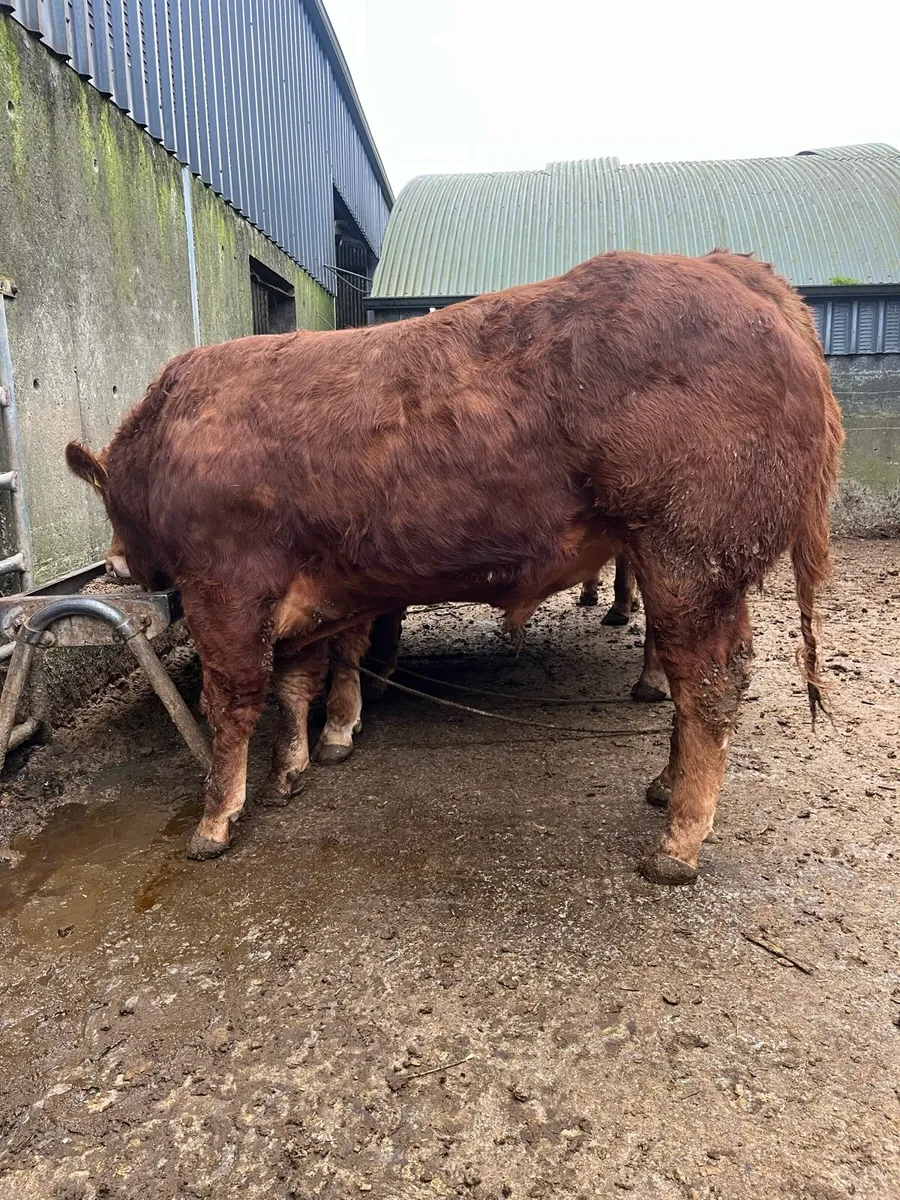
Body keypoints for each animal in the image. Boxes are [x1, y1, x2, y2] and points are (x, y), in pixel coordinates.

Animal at [66, 250, 843, 885]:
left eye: (103, 495)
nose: (113, 561)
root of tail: (733, 275)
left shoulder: (224, 591)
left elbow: (229, 705)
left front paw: (215, 821)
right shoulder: (303, 597)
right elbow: (294, 685)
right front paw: (293, 769)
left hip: (690, 556)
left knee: (708, 684)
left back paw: (677, 843)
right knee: (694, 685)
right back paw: (662, 787)